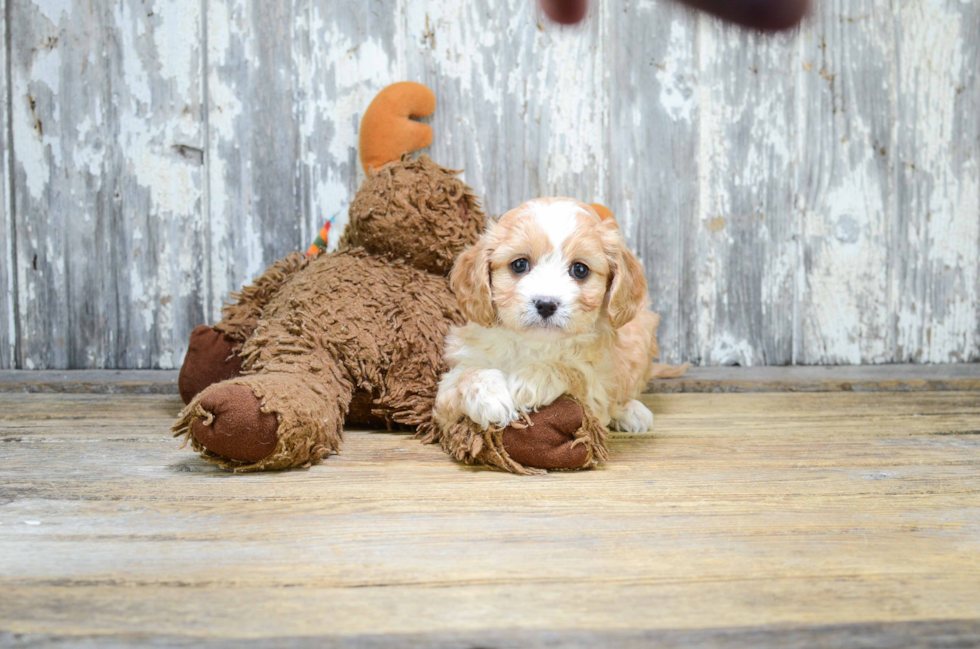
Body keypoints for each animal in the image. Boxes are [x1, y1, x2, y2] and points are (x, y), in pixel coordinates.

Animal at [432, 197, 684, 436]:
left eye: (580, 270)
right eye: (519, 264)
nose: (545, 304)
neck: (535, 344)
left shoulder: (596, 392)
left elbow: (575, 372)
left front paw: (532, 379)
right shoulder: (447, 394)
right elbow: (465, 377)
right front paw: (489, 396)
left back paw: (632, 411)